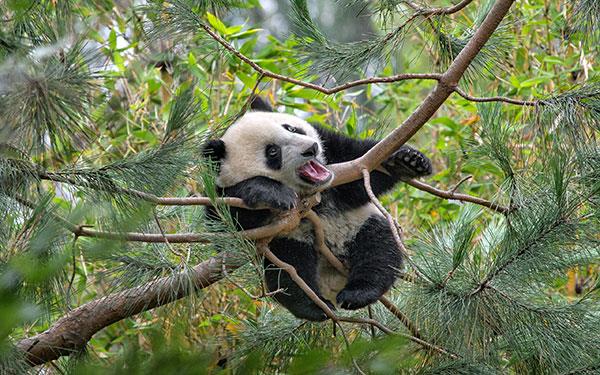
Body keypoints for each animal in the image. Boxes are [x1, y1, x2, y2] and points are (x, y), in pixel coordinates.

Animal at [203, 98, 432, 322]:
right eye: (273, 152)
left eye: (291, 128)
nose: (310, 149)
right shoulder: (218, 190)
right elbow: (222, 229)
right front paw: (270, 191)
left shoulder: (334, 153)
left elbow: (360, 164)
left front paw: (407, 161)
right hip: (289, 242)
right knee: (290, 271)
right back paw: (315, 306)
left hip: (361, 223)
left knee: (378, 249)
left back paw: (358, 292)